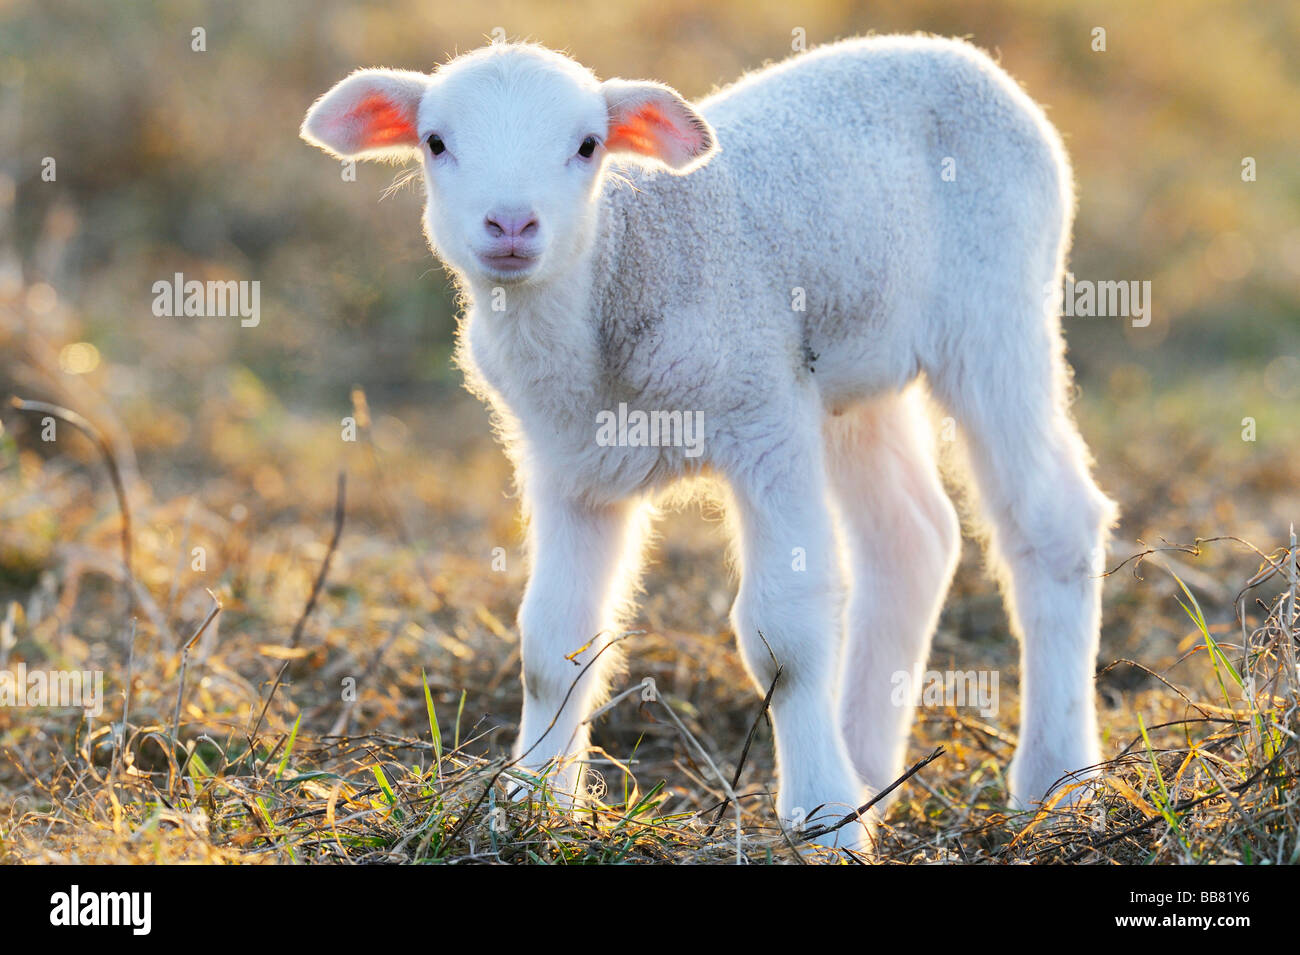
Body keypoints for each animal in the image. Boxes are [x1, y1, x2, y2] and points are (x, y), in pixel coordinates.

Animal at [301, 35, 1118, 852]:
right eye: (436, 143)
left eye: (588, 145)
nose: (510, 225)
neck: (621, 265)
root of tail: (957, 52)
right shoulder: (567, 465)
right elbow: (551, 643)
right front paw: (532, 803)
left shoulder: (763, 413)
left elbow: (786, 633)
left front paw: (823, 821)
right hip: (854, 375)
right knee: (911, 539)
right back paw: (869, 774)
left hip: (998, 311)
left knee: (1054, 524)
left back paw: (1055, 786)